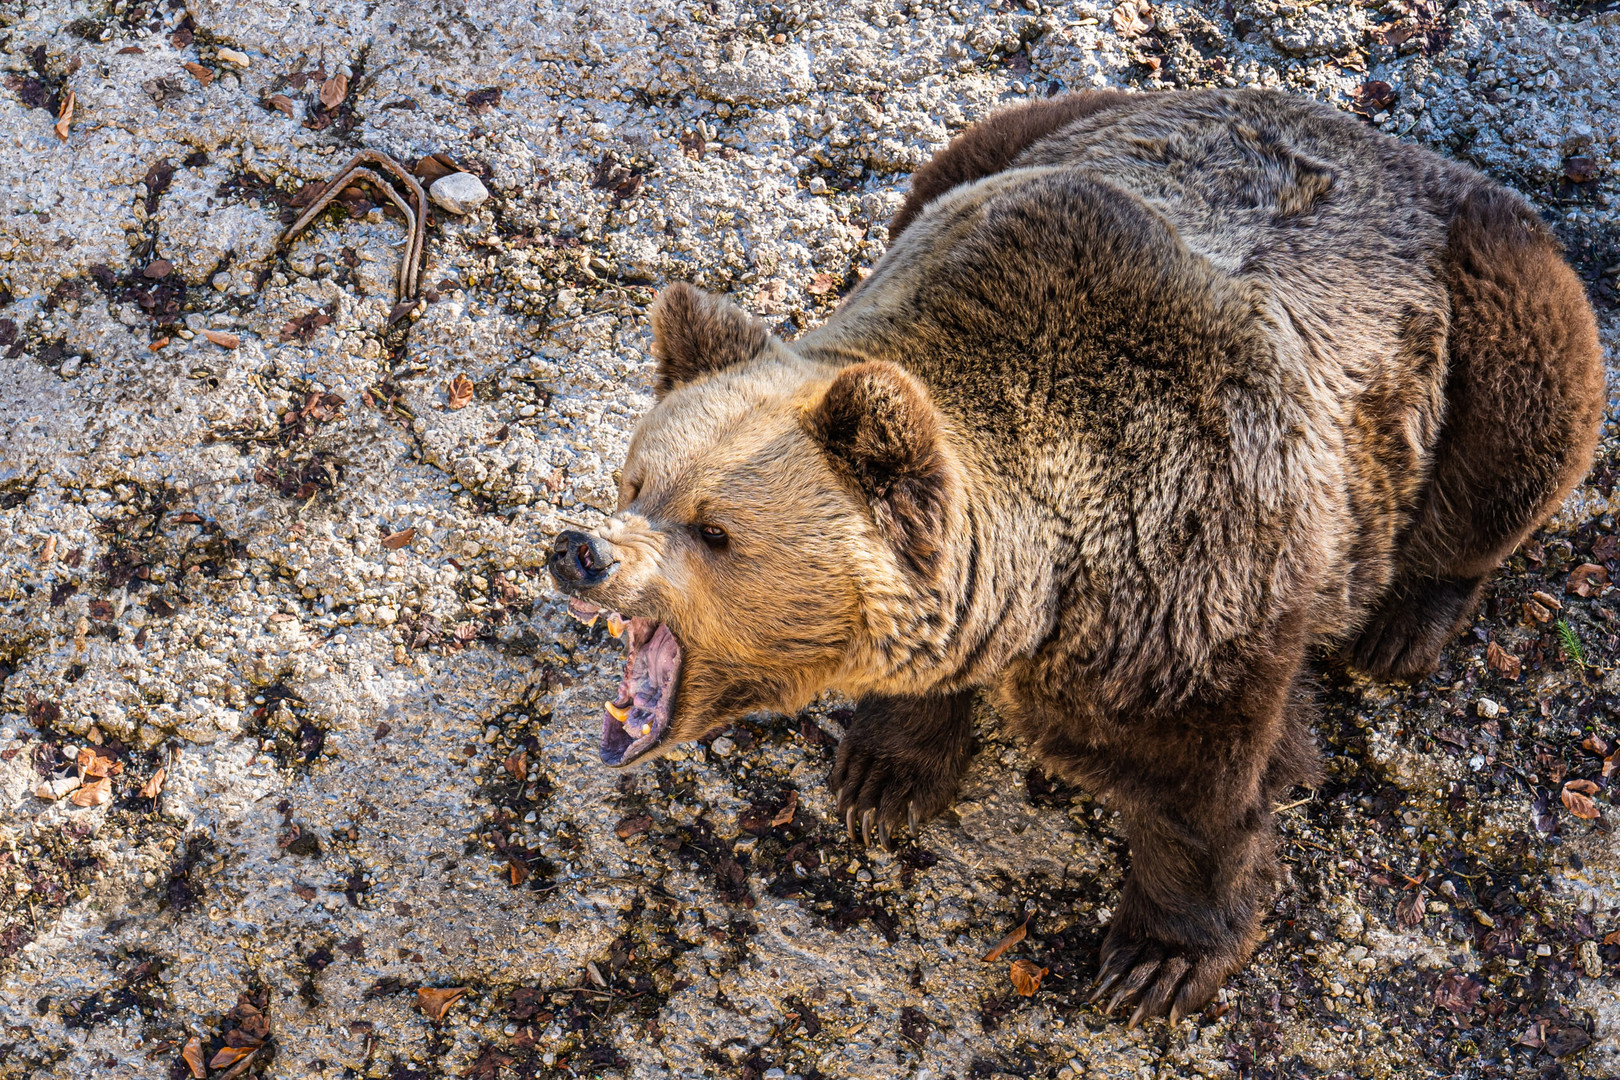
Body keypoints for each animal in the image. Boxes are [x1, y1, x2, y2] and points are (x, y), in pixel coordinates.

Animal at [547, 88, 1607, 1029]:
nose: (580, 551)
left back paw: (1402, 625)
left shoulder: (1195, 580)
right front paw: (883, 776)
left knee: (1518, 435)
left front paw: (1158, 960)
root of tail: (1389, 141)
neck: (1051, 577)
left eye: (715, 531)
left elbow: (1200, 788)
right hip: (1012, 131)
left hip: (1481, 308)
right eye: (636, 482)